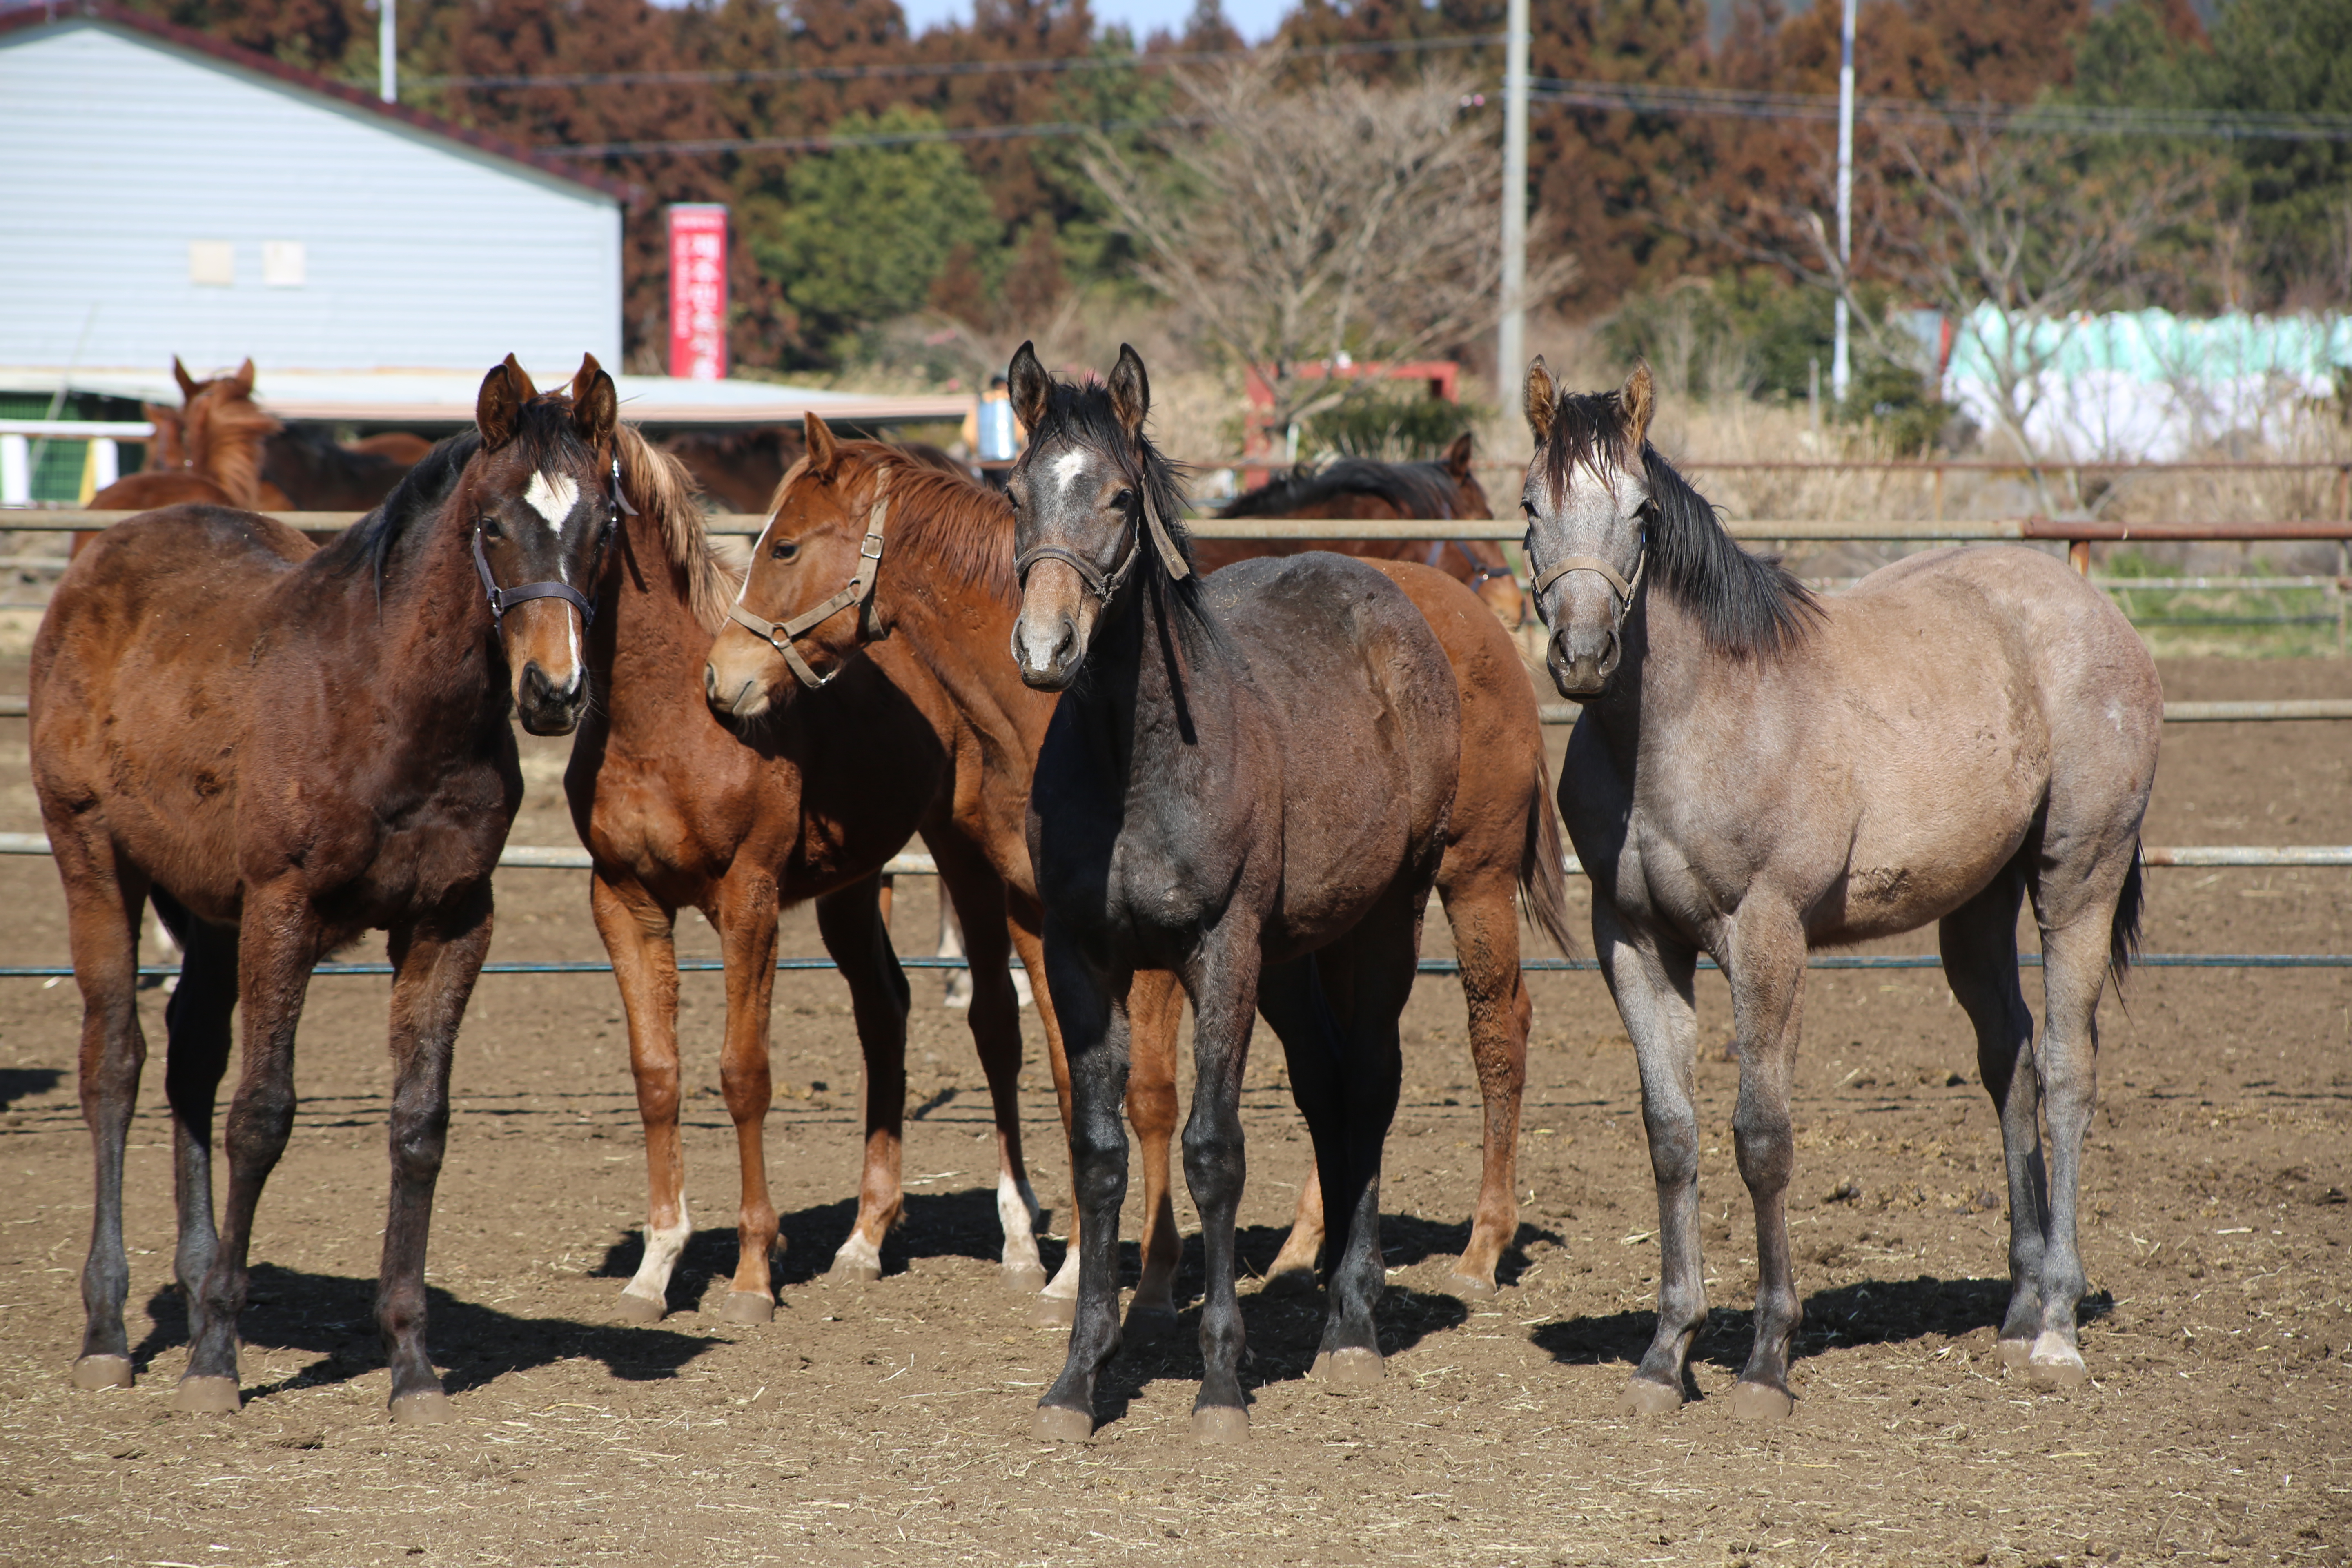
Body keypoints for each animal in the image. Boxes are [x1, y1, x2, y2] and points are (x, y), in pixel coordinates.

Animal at [33, 352, 621, 1420]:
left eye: (602, 525)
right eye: (492, 525)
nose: (554, 693)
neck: (387, 704)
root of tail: (101, 559)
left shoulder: (450, 920)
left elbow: (419, 1124)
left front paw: (412, 1365)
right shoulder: (285, 907)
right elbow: (262, 1116)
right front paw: (215, 1363)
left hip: (206, 904)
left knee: (188, 1058)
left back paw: (193, 1286)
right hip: (93, 857)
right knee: (116, 1062)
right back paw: (109, 1331)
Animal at [564, 421, 1054, 1326]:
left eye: (785, 545)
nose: (545, 681)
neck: (666, 719)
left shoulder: (749, 897)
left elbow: (743, 1072)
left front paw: (754, 1275)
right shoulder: (622, 899)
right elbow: (657, 1072)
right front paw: (654, 1268)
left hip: (965, 856)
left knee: (996, 1023)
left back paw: (1020, 1239)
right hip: (852, 885)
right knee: (884, 1012)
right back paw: (866, 1238)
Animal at [1515, 362, 2154, 1420]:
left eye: (1642, 513)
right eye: (1530, 506)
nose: (1583, 655)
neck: (1691, 722)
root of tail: (2097, 615)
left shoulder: (1766, 935)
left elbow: (1761, 1137)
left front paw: (1765, 1362)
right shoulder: (1635, 941)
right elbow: (1671, 1135)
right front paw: (1664, 1355)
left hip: (2078, 881)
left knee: (2068, 1070)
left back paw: (2057, 1326)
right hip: (1973, 908)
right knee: (2012, 1061)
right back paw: (2019, 1304)